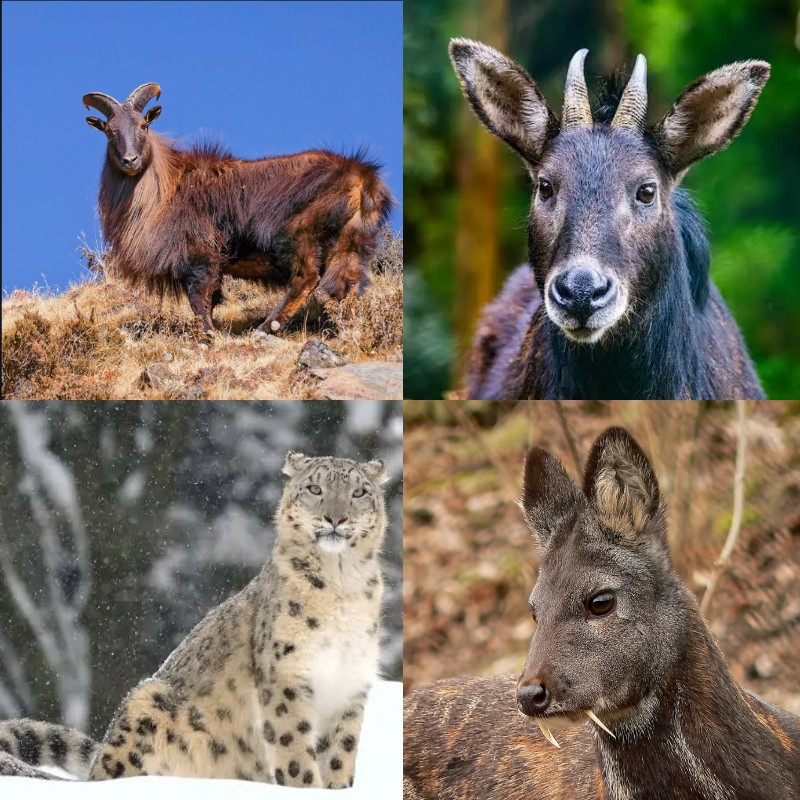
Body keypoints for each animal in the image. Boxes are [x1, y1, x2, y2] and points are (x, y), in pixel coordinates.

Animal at [0, 452, 388, 789]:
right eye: (314, 489)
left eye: (358, 492)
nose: (336, 518)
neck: (342, 583)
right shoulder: (286, 675)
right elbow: (294, 749)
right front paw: (305, 786)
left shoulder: (350, 686)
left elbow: (339, 753)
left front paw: (338, 787)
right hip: (148, 702)